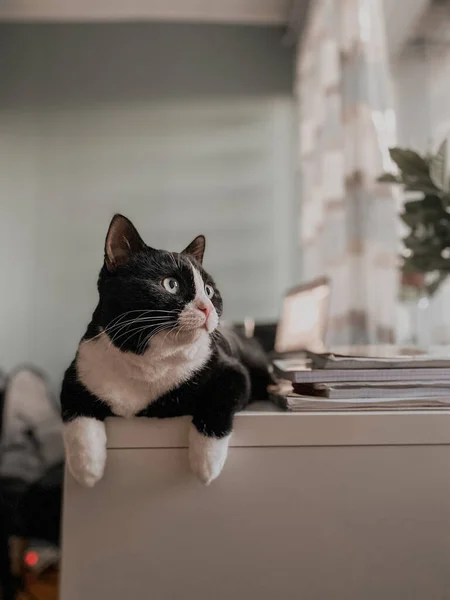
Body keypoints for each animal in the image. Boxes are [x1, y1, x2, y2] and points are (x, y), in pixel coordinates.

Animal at [61, 216, 272, 488]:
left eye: (209, 290)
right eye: (171, 285)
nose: (207, 308)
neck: (150, 361)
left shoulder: (232, 371)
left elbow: (219, 401)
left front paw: (206, 462)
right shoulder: (78, 371)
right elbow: (77, 418)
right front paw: (87, 469)